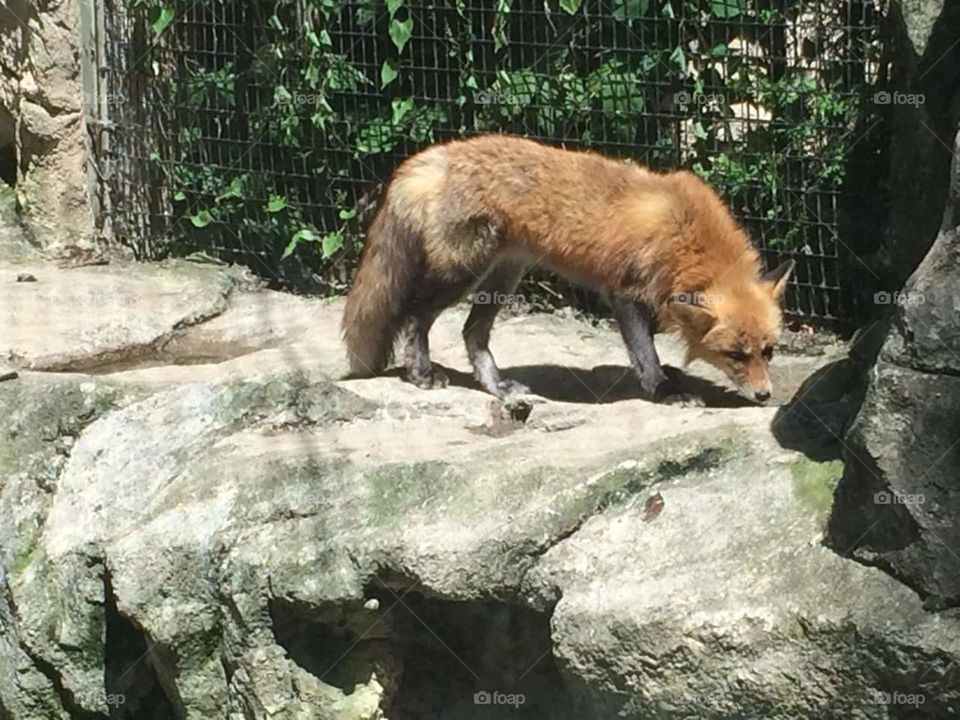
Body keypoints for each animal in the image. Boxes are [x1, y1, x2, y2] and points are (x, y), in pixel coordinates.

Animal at [342, 134, 794, 404]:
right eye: (735, 354)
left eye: (768, 351)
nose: (765, 396)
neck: (684, 234)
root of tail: (432, 156)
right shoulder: (623, 292)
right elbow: (644, 351)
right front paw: (663, 389)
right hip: (462, 273)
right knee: (416, 317)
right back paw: (421, 373)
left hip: (504, 277)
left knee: (472, 334)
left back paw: (496, 386)